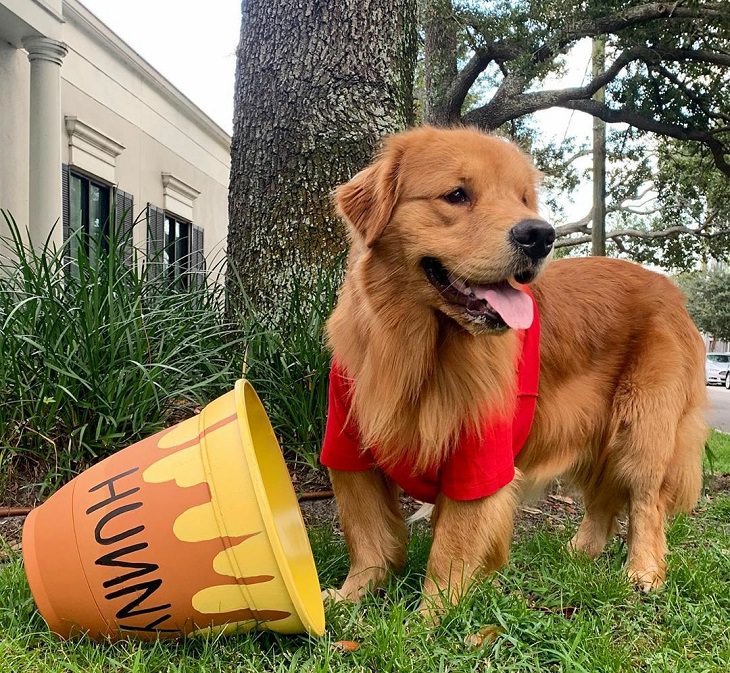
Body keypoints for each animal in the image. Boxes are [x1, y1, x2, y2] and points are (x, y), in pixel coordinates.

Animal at [318, 126, 704, 620]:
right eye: (457, 195)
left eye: (523, 200)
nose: (540, 235)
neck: (413, 349)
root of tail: (670, 289)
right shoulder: (347, 445)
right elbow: (367, 536)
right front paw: (351, 596)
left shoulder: (480, 452)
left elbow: (451, 547)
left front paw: (430, 619)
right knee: (603, 499)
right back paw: (580, 552)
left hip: (642, 429)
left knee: (645, 503)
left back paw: (643, 571)